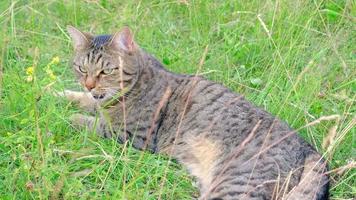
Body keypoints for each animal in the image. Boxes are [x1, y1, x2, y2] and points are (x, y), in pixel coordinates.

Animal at [62, 25, 330, 199]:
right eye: (81, 69)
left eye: (106, 71)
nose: (89, 84)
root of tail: (309, 149)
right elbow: (87, 103)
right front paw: (63, 94)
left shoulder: (133, 136)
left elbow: (93, 124)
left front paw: (70, 117)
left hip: (235, 184)